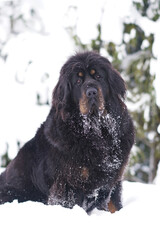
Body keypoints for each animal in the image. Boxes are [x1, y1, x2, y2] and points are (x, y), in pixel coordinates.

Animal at [0, 51, 135, 213]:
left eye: (98, 76)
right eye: (78, 81)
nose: (91, 92)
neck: (96, 130)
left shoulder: (114, 178)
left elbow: (114, 205)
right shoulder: (68, 184)